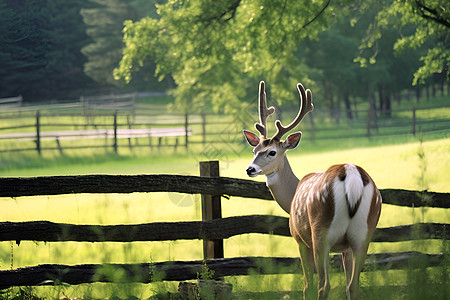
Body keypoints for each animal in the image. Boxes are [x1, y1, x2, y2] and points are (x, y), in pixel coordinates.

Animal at [244, 81, 382, 298]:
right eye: (254, 150)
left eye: (271, 152)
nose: (250, 169)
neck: (292, 196)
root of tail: (351, 174)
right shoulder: (345, 249)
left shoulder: (300, 240)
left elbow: (307, 285)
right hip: (364, 232)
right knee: (353, 286)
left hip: (321, 232)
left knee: (323, 285)